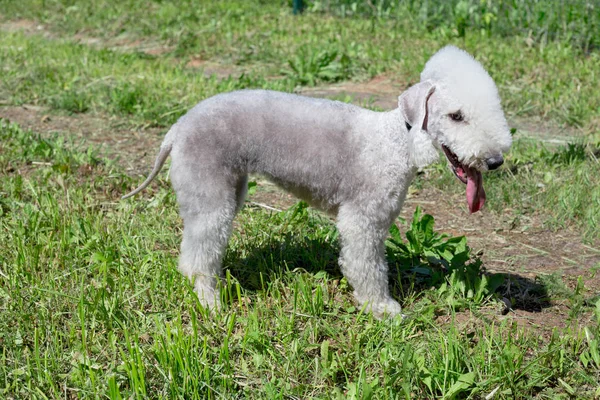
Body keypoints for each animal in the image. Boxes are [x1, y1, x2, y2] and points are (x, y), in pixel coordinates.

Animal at [122, 45, 510, 318]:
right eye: (456, 116)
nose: (495, 160)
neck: (398, 140)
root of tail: (177, 128)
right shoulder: (362, 220)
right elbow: (367, 266)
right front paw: (381, 308)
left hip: (231, 187)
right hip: (210, 193)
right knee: (198, 256)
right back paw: (210, 302)